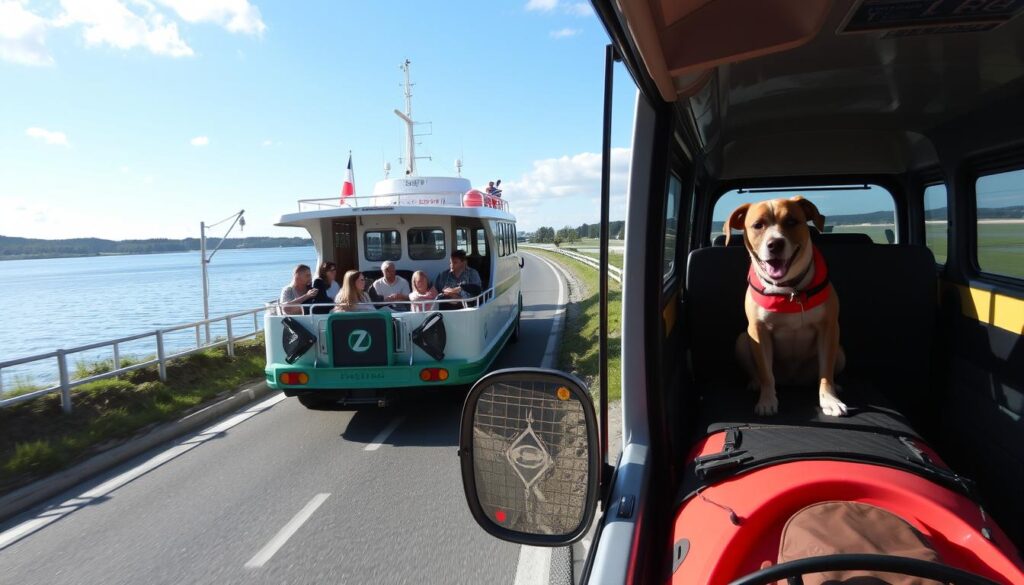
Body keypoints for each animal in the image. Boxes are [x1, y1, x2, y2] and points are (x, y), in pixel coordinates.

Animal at [729, 196, 847, 415]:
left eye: (792, 221)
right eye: (758, 225)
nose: (775, 244)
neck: (789, 290)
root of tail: (793, 380)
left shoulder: (828, 328)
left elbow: (826, 371)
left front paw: (829, 399)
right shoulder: (758, 331)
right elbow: (766, 373)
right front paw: (767, 400)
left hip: (840, 352)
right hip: (741, 341)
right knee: (758, 371)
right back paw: (755, 383)